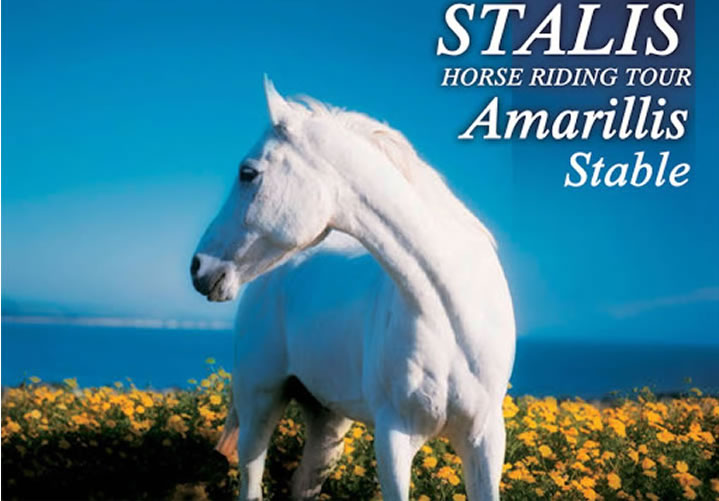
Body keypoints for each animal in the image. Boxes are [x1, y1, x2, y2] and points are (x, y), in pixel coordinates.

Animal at [190, 78, 516, 501]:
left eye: (248, 173)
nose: (200, 267)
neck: (451, 315)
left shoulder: (485, 439)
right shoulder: (395, 436)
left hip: (326, 420)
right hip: (259, 399)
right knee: (251, 477)